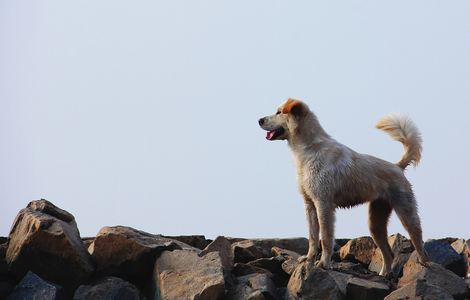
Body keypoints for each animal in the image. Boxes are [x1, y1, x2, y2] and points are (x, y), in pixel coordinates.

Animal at [258, 99, 428, 276]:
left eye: (279, 112)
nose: (259, 120)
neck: (309, 150)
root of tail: (398, 166)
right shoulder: (309, 204)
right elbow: (313, 237)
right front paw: (308, 259)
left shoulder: (323, 203)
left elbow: (326, 238)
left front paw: (323, 263)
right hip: (375, 222)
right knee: (388, 253)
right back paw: (384, 275)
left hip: (407, 214)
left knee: (419, 243)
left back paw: (423, 266)